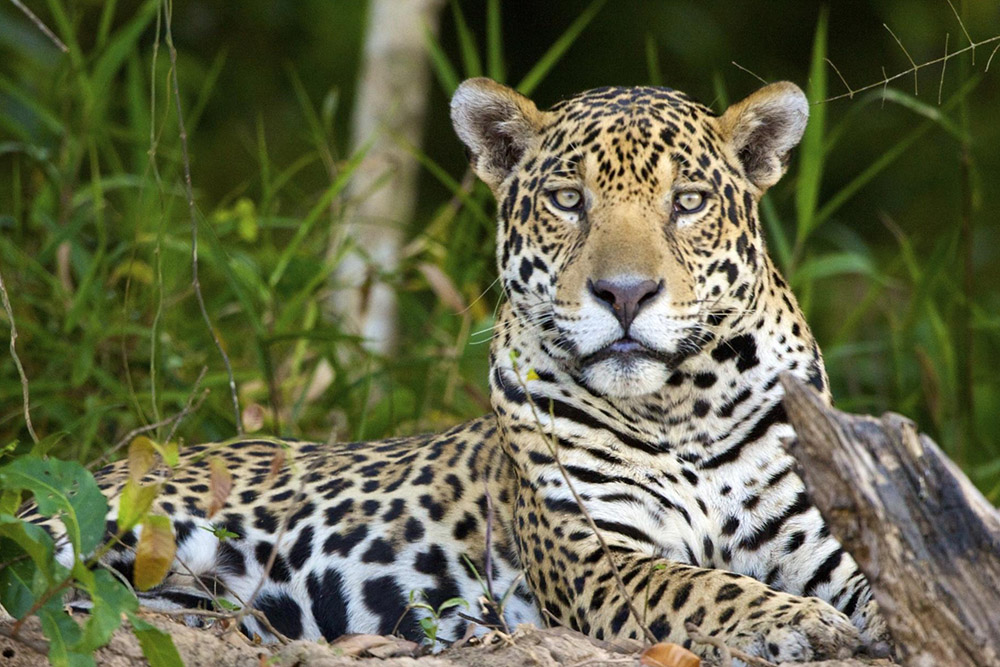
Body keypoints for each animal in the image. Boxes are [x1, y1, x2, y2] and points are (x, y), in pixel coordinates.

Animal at [31, 78, 892, 664]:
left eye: (686, 202)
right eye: (568, 201)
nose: (624, 293)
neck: (685, 405)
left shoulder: (825, 535)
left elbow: (884, 578)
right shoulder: (597, 559)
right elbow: (701, 584)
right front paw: (800, 621)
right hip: (93, 517)